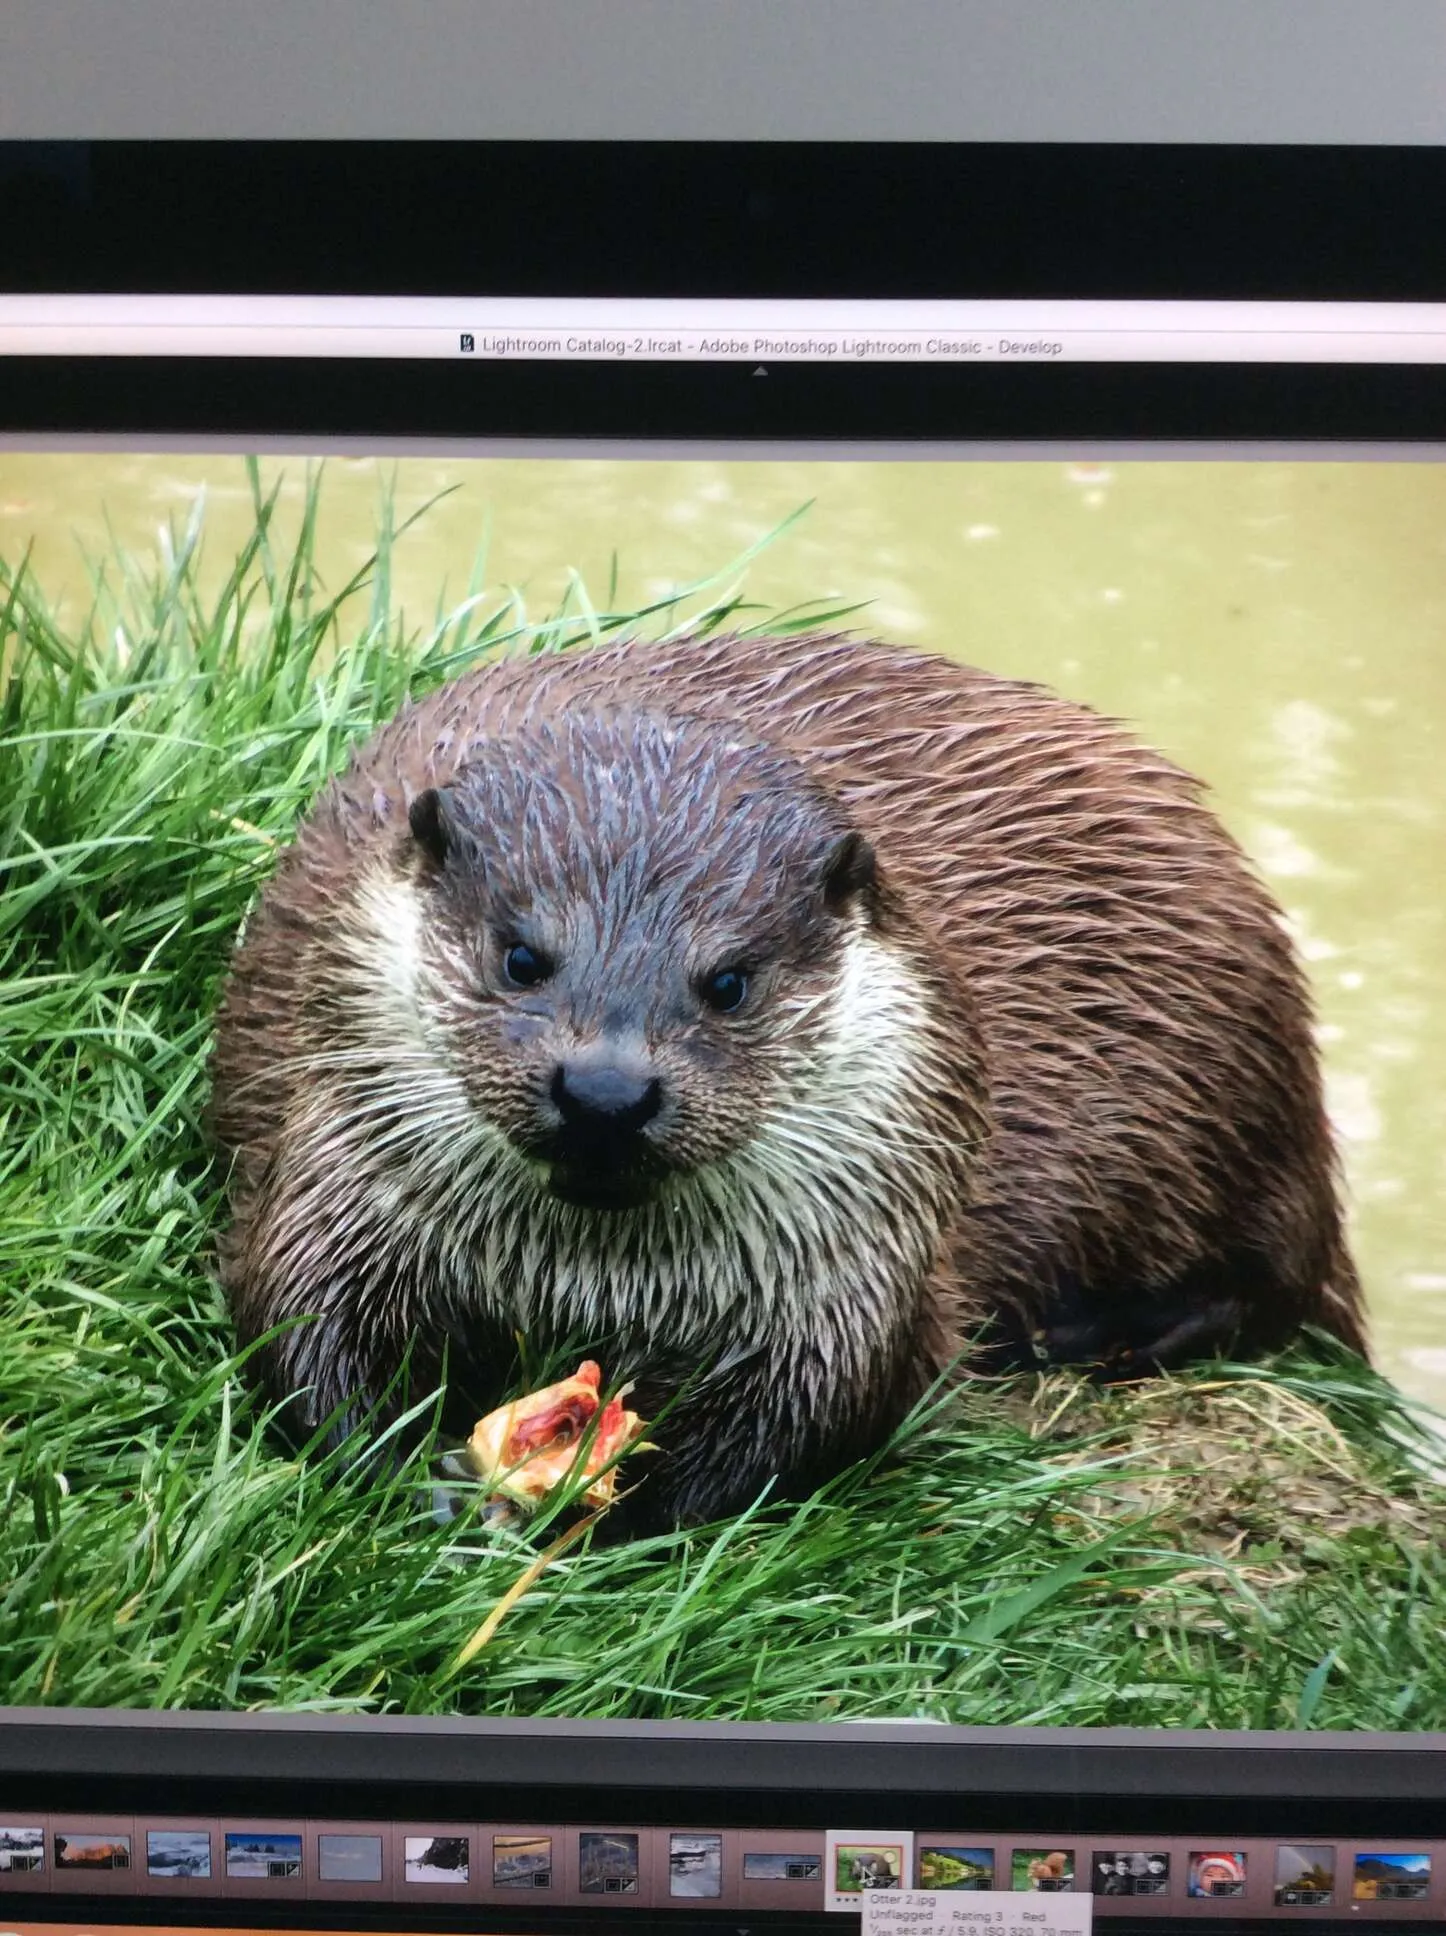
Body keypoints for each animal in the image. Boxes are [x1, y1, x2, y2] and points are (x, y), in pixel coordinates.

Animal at [209, 630, 1366, 1529]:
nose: (605, 1091)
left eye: (728, 981)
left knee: (1282, 1273)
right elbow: (291, 1313)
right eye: (523, 957)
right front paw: (401, 1469)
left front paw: (626, 1509)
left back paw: (1098, 1332)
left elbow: (816, 1411)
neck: (588, 1277)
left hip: (1233, 1086)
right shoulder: (336, 1159)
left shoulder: (863, 1262)